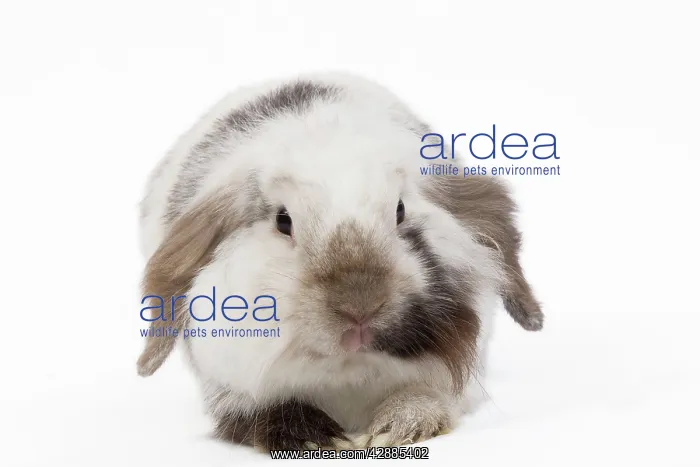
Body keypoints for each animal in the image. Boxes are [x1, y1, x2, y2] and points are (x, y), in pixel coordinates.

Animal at [137, 72, 544, 451]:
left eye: (400, 211)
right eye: (283, 220)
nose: (359, 306)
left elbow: (427, 396)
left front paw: (394, 428)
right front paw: (319, 440)